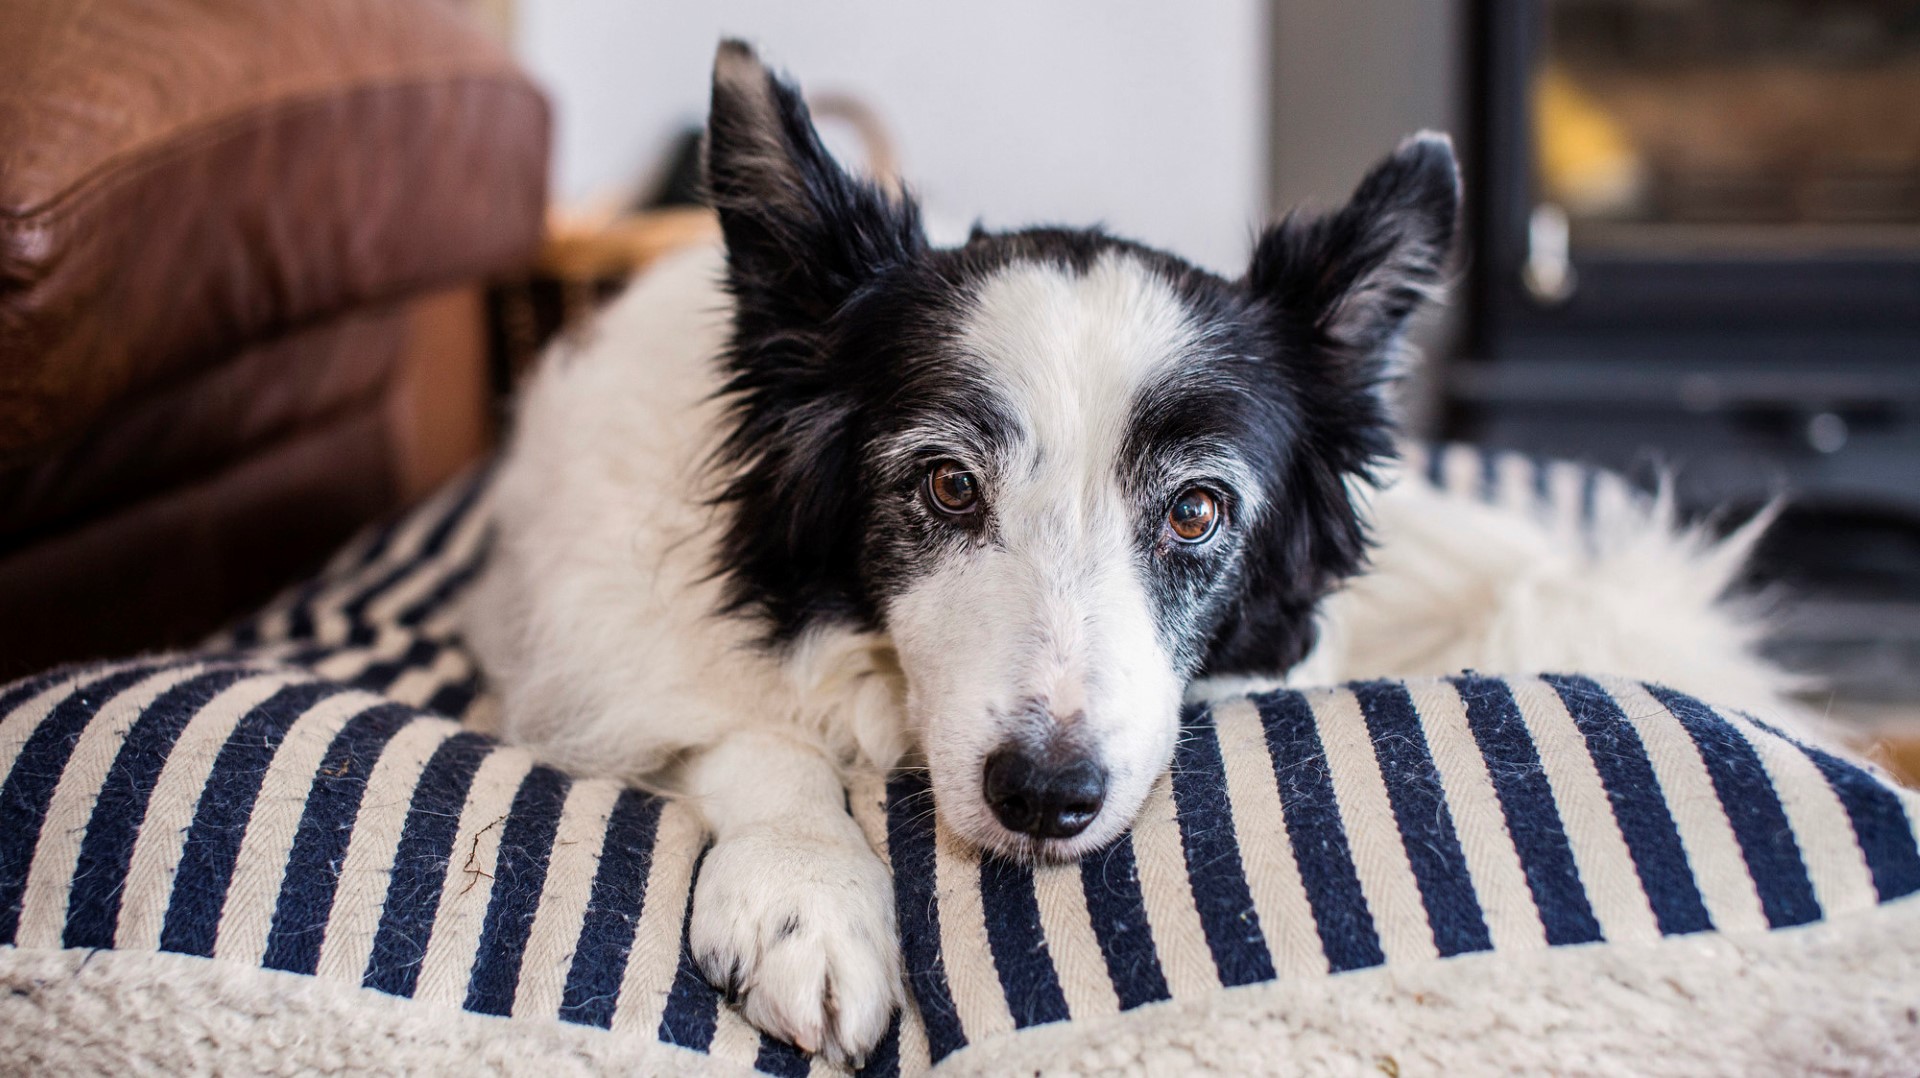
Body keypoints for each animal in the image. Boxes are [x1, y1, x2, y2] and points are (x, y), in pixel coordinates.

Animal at [456, 39, 1789, 1060]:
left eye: (1196, 511)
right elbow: (752, 733)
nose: (1047, 799)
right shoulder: (612, 647)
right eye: (946, 485)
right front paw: (807, 895)